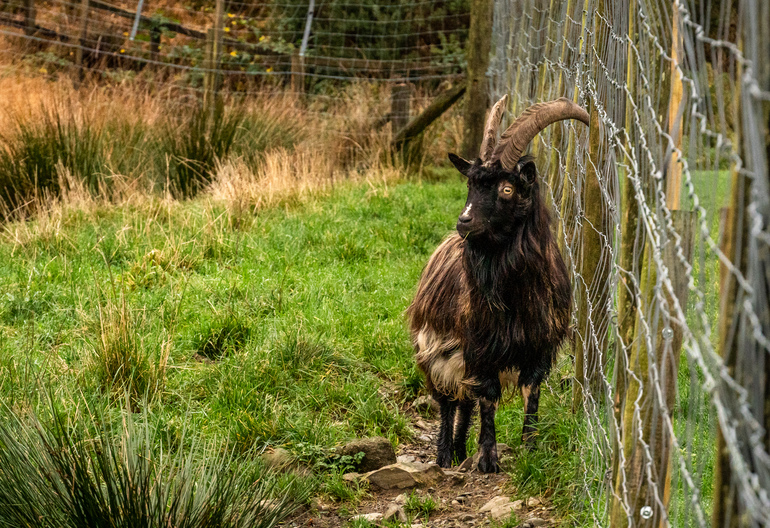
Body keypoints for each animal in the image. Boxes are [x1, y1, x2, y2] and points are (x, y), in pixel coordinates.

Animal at [407, 96, 589, 472]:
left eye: (507, 188)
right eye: (470, 186)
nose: (464, 222)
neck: (517, 296)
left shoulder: (539, 346)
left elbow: (530, 393)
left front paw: (529, 447)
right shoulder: (481, 347)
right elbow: (488, 398)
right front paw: (488, 458)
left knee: (464, 400)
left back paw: (459, 448)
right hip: (434, 349)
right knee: (447, 400)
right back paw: (445, 454)